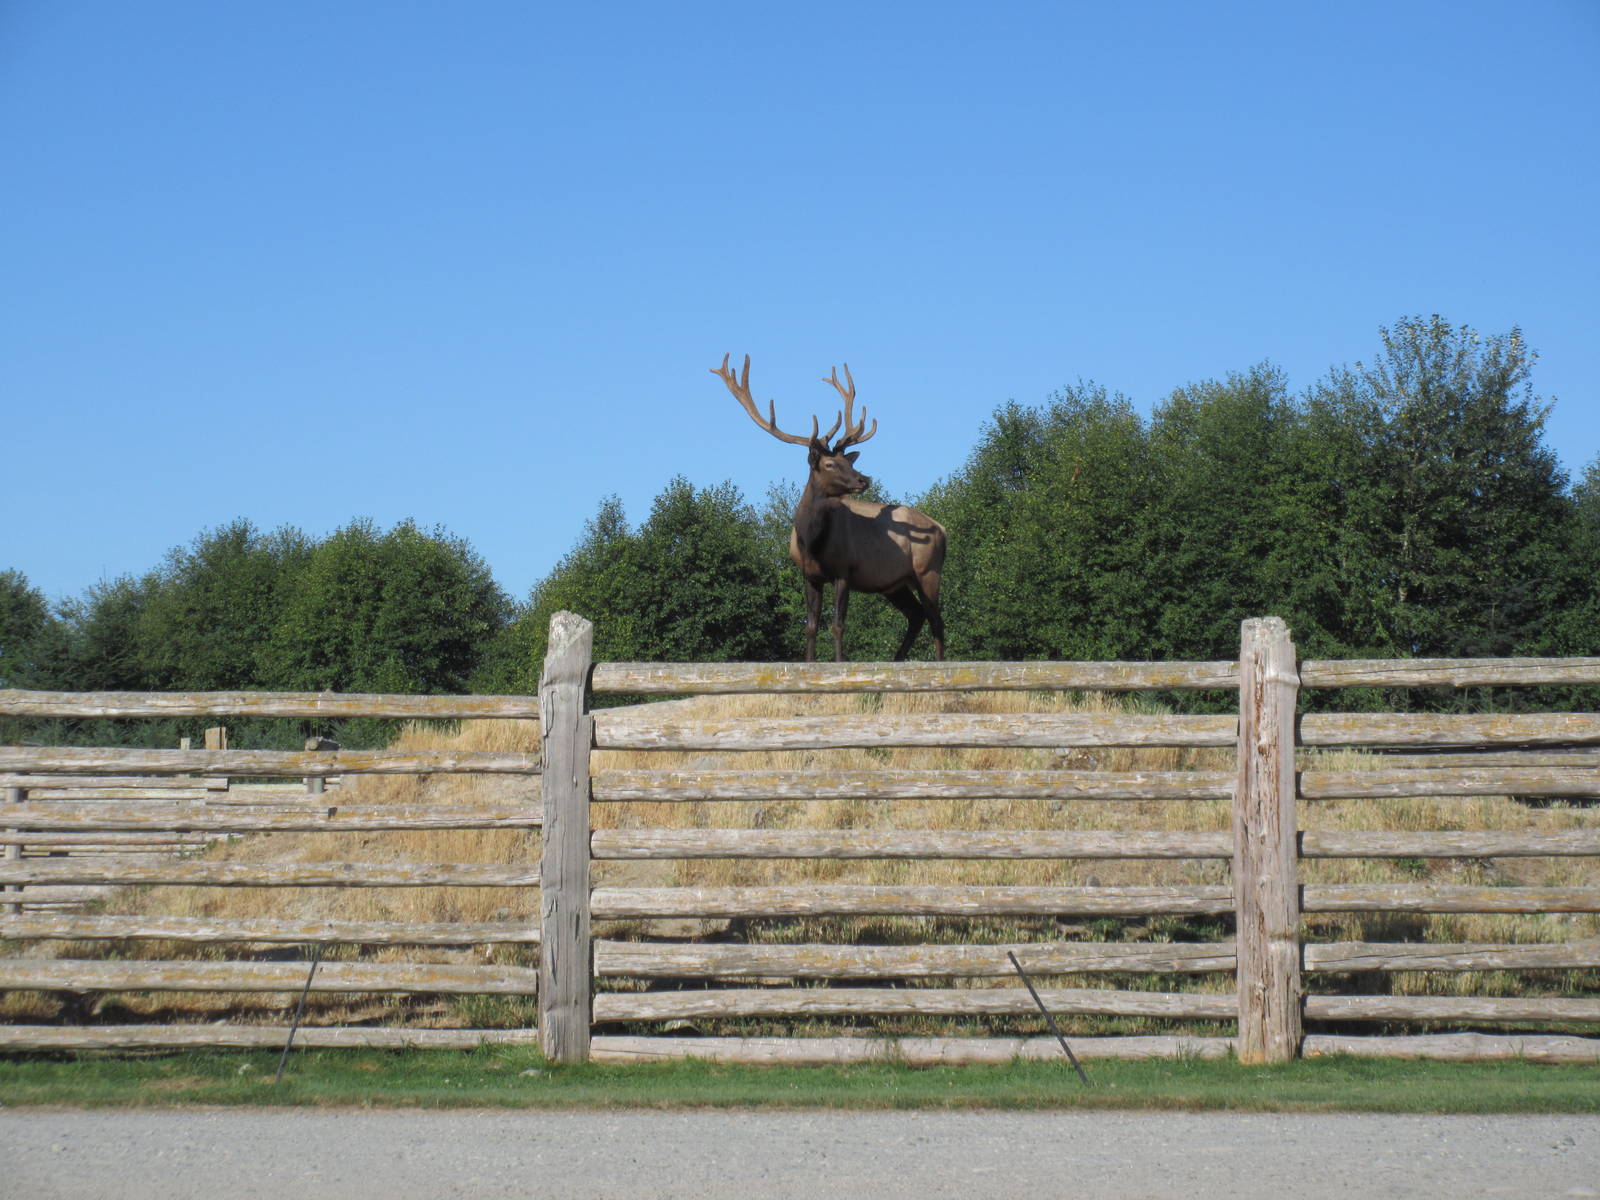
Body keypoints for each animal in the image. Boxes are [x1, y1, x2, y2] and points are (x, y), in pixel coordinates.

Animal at [712, 353, 946, 662]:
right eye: (830, 464)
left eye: (849, 461)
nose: (864, 479)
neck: (812, 543)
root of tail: (942, 529)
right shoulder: (809, 575)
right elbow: (811, 626)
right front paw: (810, 664)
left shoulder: (844, 570)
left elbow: (837, 625)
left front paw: (839, 663)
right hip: (894, 583)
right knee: (917, 615)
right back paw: (896, 660)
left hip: (927, 569)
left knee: (936, 620)